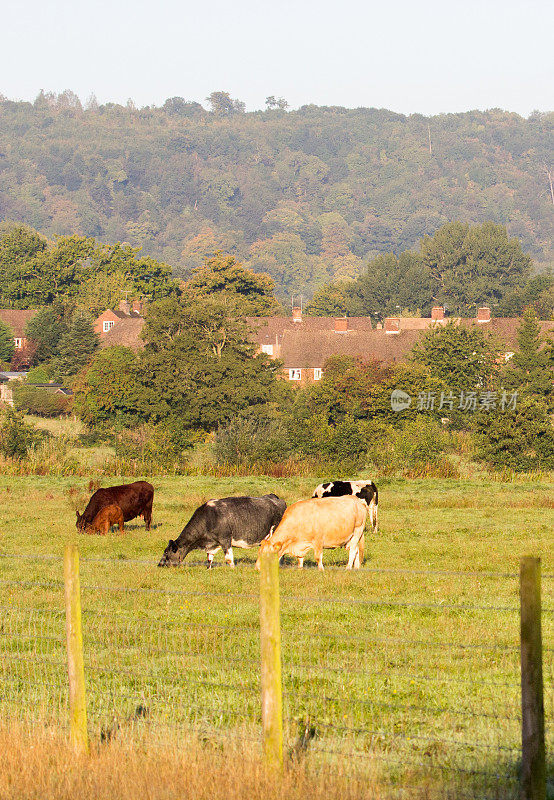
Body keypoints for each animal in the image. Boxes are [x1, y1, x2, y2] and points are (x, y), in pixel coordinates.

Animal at [155, 494, 284, 568]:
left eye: (166, 552)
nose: (159, 565)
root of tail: (274, 497)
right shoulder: (212, 543)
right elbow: (209, 558)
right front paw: (208, 569)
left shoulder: (225, 539)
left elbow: (228, 559)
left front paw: (232, 570)